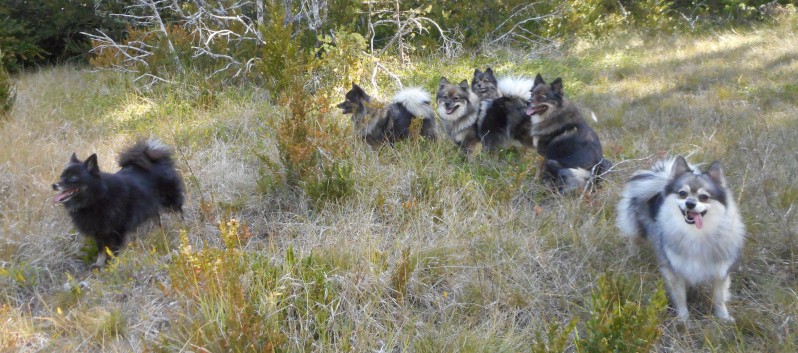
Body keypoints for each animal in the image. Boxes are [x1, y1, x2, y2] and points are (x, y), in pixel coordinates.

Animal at [53, 139, 186, 266]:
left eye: (73, 178)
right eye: (61, 176)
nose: (54, 185)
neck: (97, 198)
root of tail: (153, 158)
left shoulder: (118, 229)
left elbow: (115, 250)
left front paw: (115, 264)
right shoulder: (98, 232)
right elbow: (101, 249)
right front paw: (99, 264)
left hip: (170, 202)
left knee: (179, 214)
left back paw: (182, 229)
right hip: (151, 206)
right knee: (158, 222)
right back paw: (159, 235)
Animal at [616, 155, 748, 320]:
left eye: (704, 197)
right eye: (682, 193)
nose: (690, 203)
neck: (696, 233)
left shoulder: (720, 271)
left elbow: (719, 297)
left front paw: (723, 316)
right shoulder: (675, 271)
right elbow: (680, 297)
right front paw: (683, 319)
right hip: (637, 231)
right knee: (634, 241)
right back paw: (634, 257)